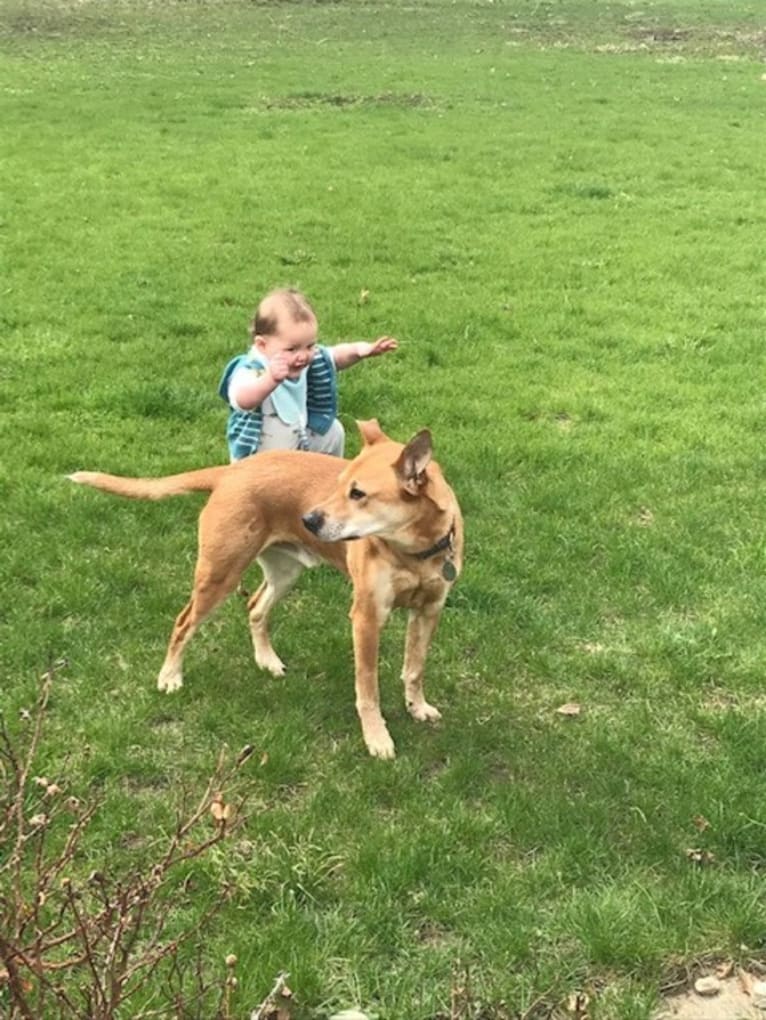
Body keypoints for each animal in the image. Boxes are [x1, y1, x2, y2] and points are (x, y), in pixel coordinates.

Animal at [70, 416, 461, 758]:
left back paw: (267, 661)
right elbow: (368, 689)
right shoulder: (366, 618)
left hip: (284, 571)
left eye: (358, 493)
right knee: (183, 623)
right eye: (339, 485)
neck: (416, 551)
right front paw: (377, 738)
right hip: (219, 574)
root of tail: (231, 471)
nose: (309, 519)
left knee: (255, 607)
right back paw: (170, 676)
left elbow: (415, 669)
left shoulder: (429, 610)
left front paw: (417, 707)